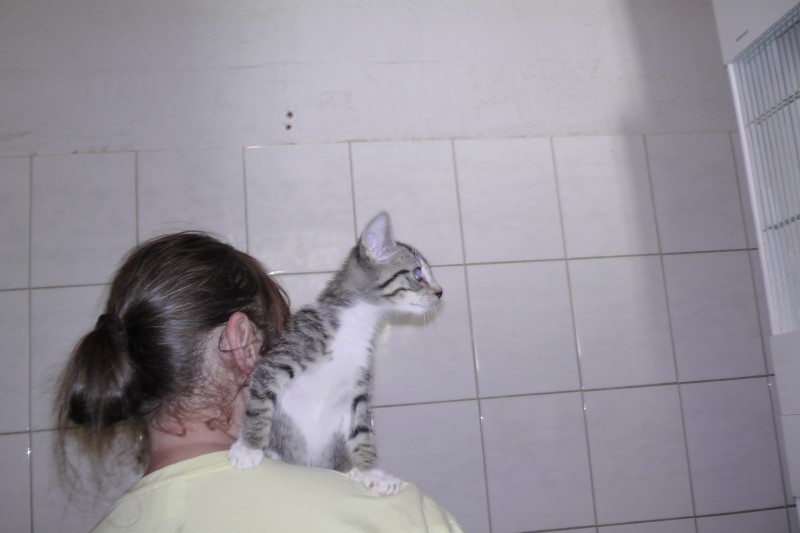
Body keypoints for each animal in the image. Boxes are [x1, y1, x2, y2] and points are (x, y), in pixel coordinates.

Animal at [228, 212, 443, 496]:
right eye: (418, 274)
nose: (440, 292)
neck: (356, 323)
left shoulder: (359, 386)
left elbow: (363, 429)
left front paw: (371, 472)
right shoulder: (278, 360)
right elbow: (260, 402)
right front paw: (249, 447)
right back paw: (272, 453)